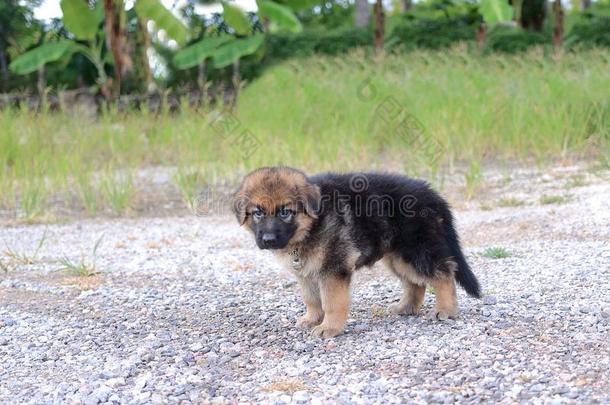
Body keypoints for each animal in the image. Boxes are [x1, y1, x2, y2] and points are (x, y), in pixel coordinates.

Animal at [233, 166, 480, 336]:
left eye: (285, 212)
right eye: (258, 213)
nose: (268, 239)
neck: (312, 224)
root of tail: (433, 196)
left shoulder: (333, 268)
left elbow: (331, 302)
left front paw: (329, 328)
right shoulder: (306, 272)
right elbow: (312, 299)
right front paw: (312, 319)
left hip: (416, 250)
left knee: (444, 273)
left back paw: (446, 309)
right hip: (398, 257)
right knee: (415, 283)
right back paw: (406, 307)